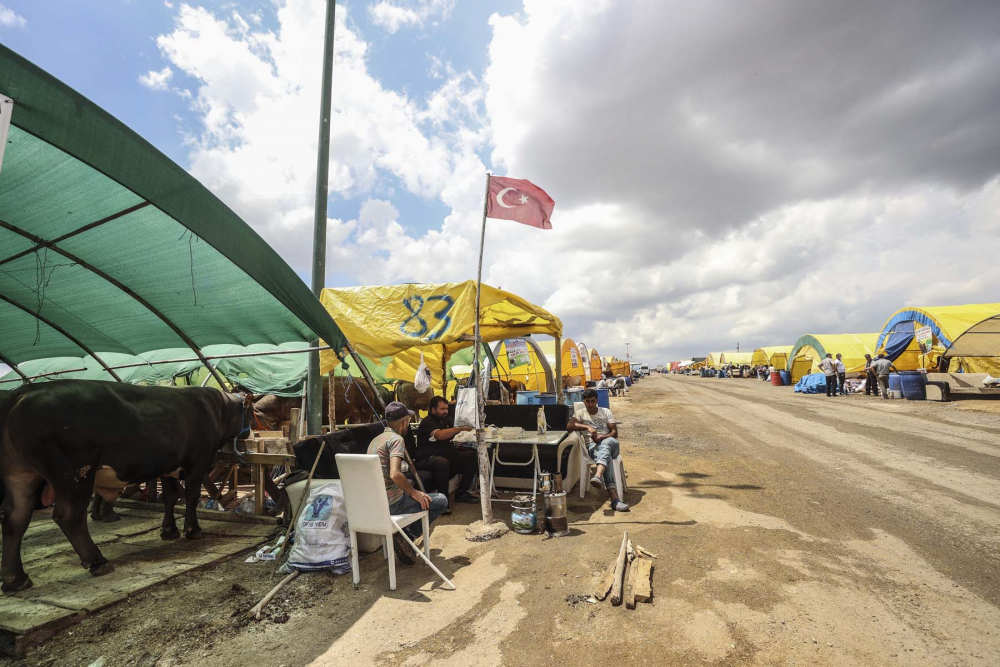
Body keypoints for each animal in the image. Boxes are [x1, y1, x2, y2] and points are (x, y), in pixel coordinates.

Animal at [0, 380, 250, 596]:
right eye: (252, 412)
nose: (248, 432)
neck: (217, 408)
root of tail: (23, 392)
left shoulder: (169, 464)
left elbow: (170, 497)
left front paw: (169, 530)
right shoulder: (198, 460)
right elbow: (191, 494)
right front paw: (193, 530)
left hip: (20, 474)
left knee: (15, 518)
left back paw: (16, 579)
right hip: (75, 473)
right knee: (69, 516)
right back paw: (97, 561)